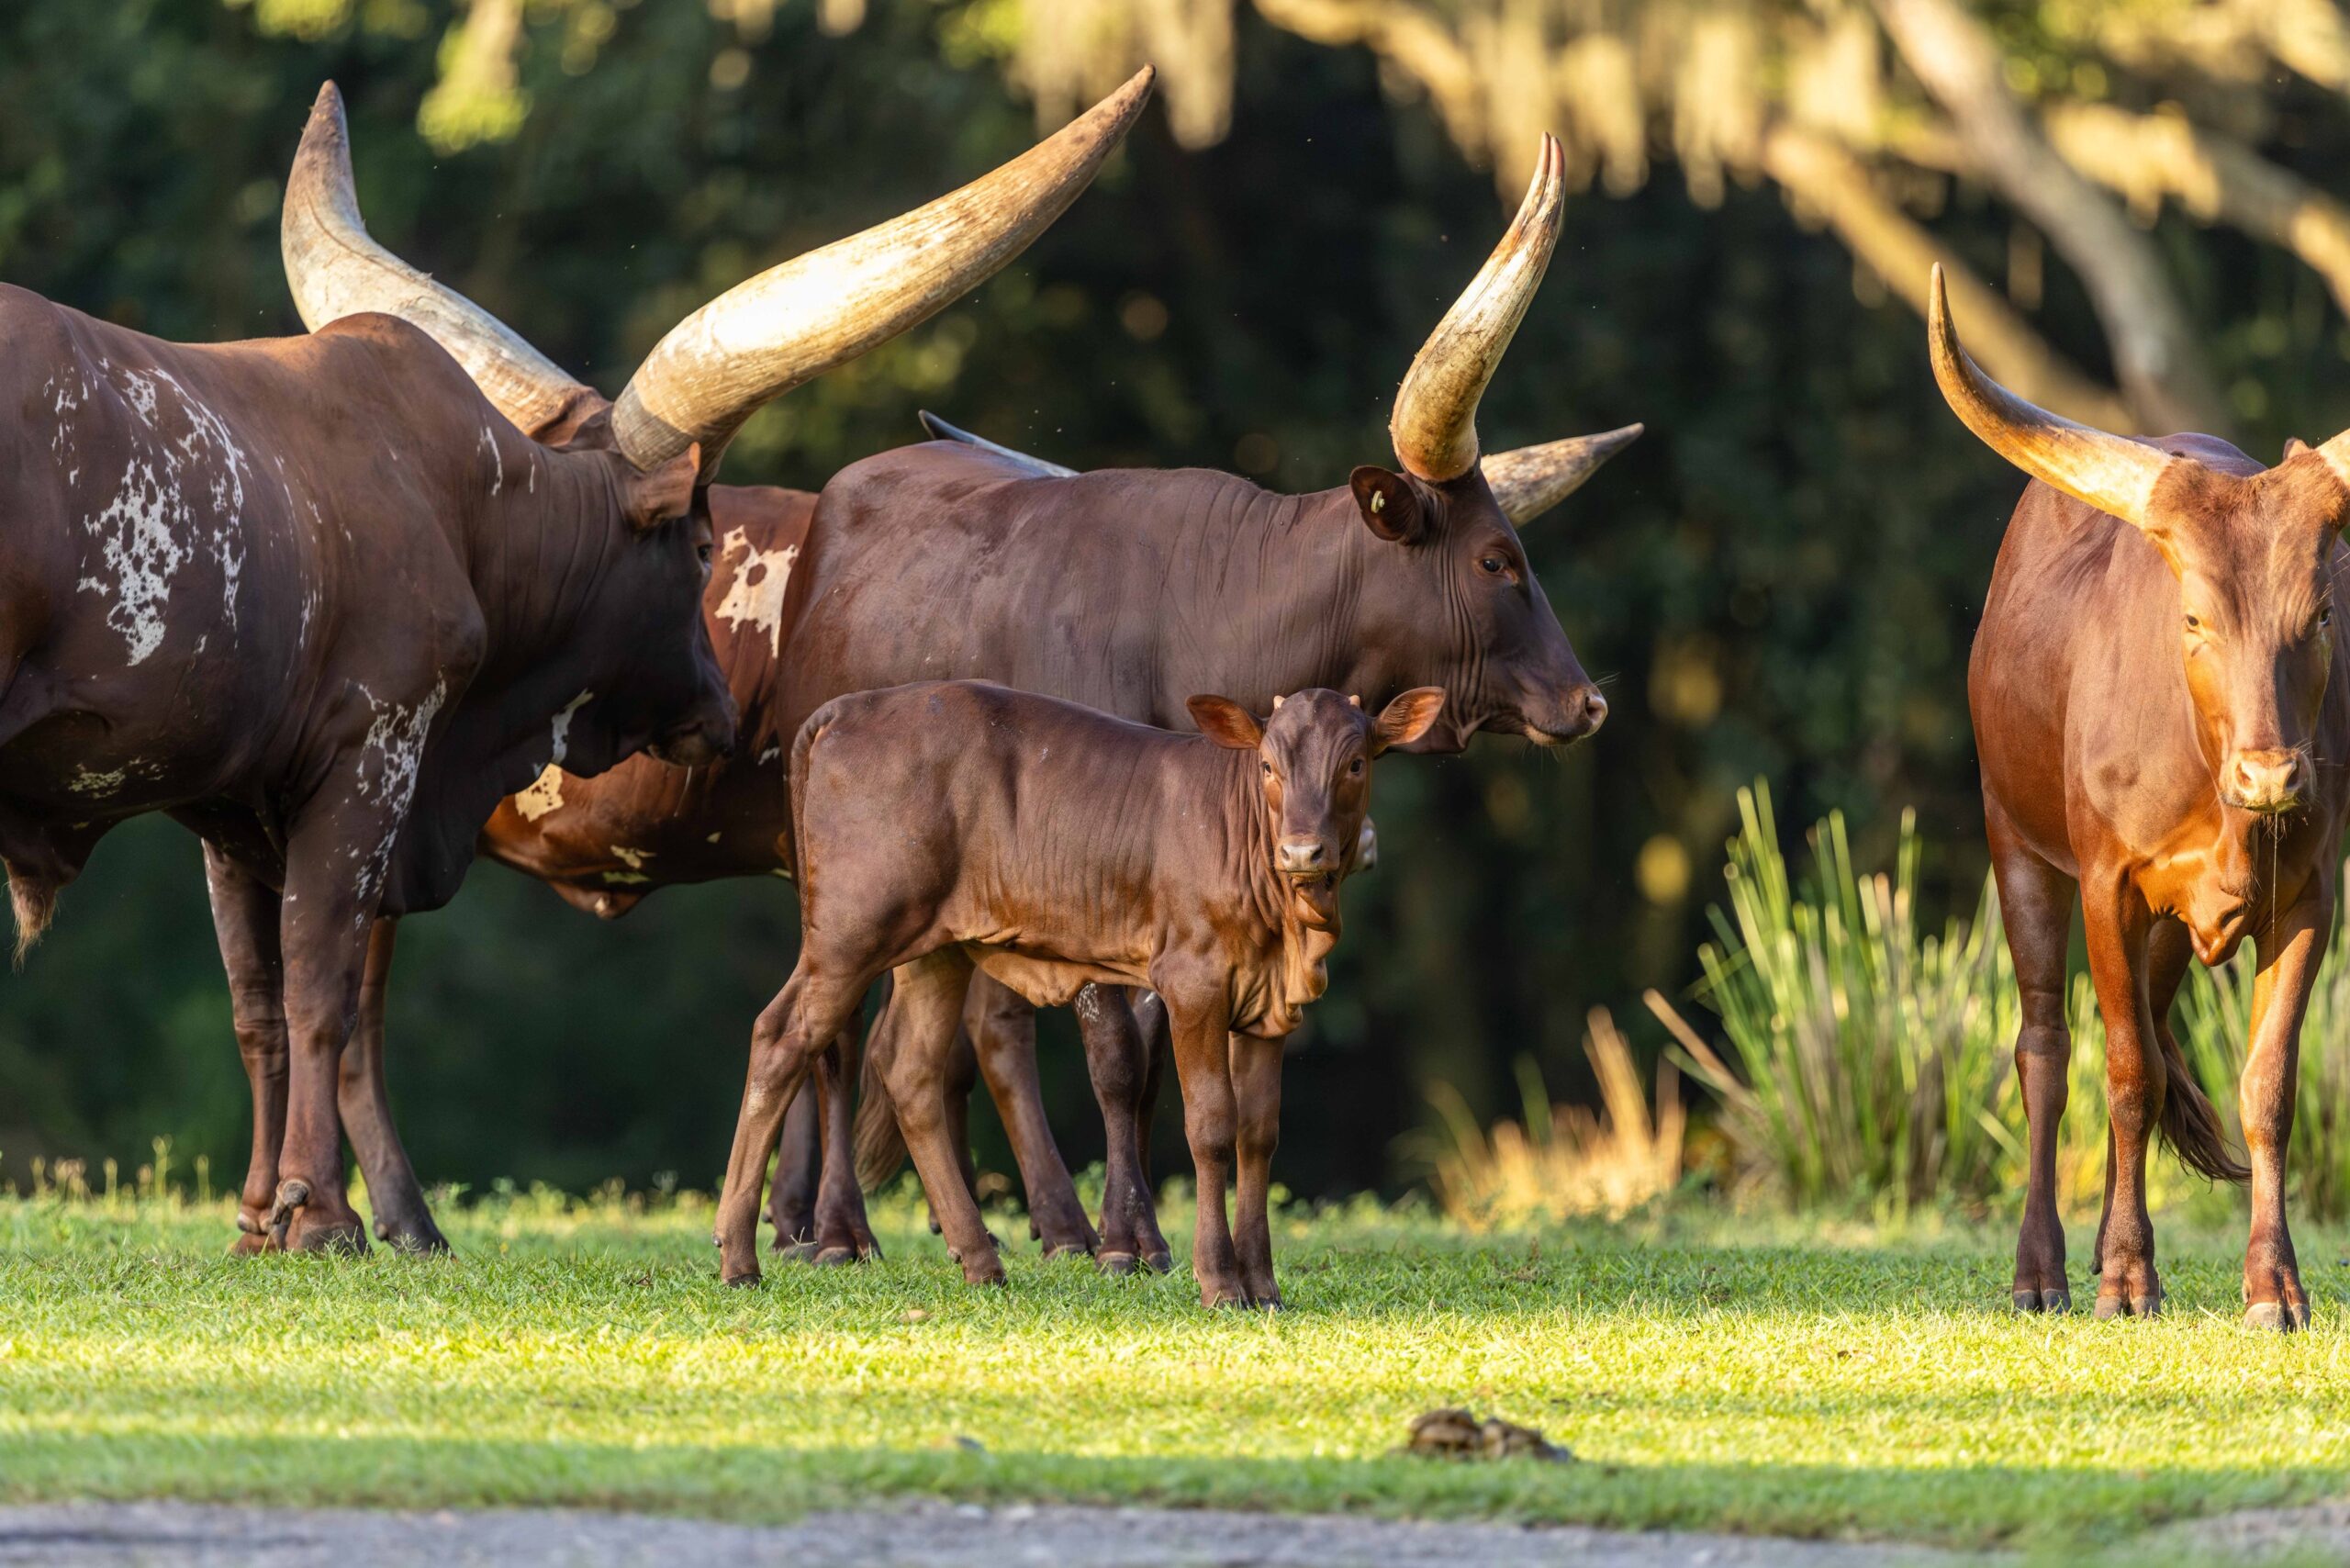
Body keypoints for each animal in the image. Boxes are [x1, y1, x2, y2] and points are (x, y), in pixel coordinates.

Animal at [714, 680, 1443, 1303]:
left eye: (1355, 763)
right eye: (1267, 765)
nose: (1301, 851)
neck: (1288, 934)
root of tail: (847, 707)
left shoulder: (1269, 1010)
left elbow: (1258, 1135)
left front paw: (1264, 1286)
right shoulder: (1193, 982)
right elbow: (1210, 1126)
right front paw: (1220, 1283)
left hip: (935, 949)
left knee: (909, 1068)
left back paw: (980, 1260)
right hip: (851, 929)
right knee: (780, 1037)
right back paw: (738, 1256)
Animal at [1930, 263, 2341, 1328]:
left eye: (2324, 613)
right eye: (2192, 617)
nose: (2271, 775)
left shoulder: (2311, 895)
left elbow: (2266, 1084)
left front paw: (2274, 1287)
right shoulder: (2108, 884)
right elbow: (2120, 1071)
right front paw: (2122, 1275)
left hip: (2165, 923)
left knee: (2152, 1042)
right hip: (2016, 845)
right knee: (2045, 1046)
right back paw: (2042, 1271)